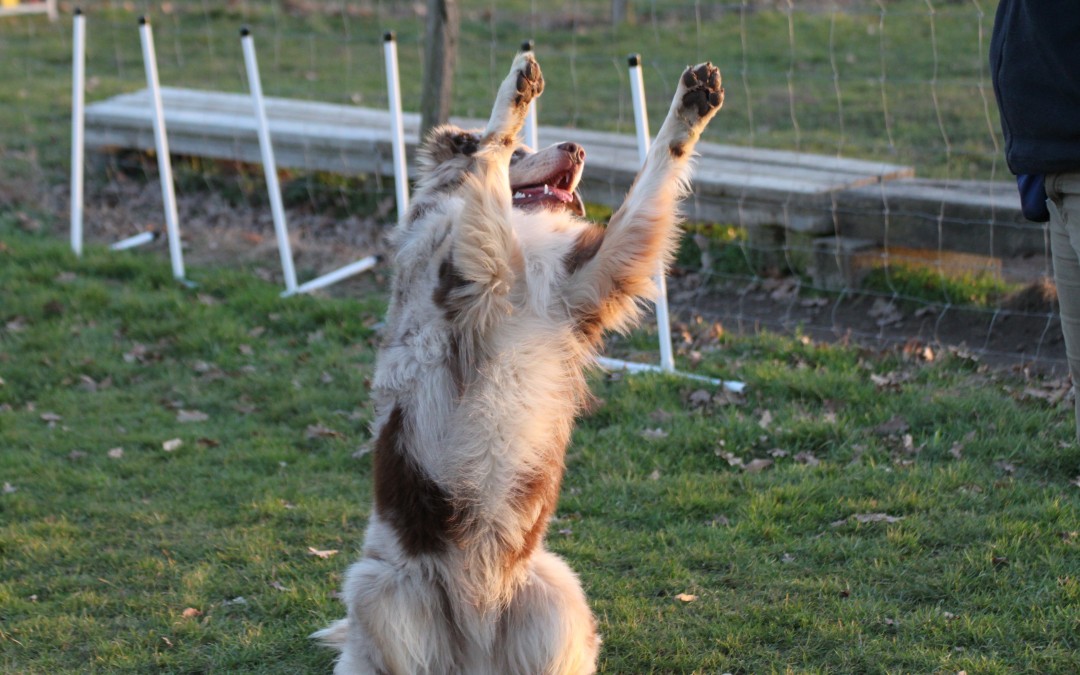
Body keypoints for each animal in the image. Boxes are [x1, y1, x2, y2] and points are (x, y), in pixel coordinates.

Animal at [315, 49, 725, 669]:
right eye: (524, 153)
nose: (577, 150)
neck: (523, 248)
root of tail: (476, 647)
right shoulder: (468, 273)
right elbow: (487, 164)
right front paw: (512, 96)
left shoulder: (591, 278)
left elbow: (651, 179)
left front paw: (692, 107)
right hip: (380, 587)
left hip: (556, 588)